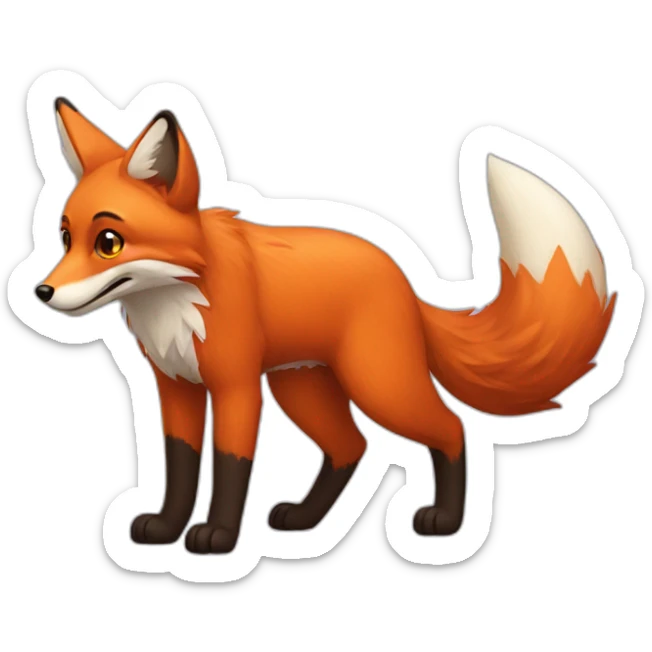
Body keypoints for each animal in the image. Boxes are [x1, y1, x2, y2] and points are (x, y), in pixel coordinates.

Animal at [35, 98, 616, 554]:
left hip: (377, 385)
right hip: (303, 388)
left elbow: (229, 464)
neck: (177, 300)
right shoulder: (176, 386)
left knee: (451, 428)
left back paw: (445, 522)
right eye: (64, 238)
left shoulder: (237, 387)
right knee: (351, 447)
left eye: (108, 242)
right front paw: (166, 528)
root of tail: (406, 283)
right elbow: (180, 466)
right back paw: (306, 519)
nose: (42, 292)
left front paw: (218, 537)